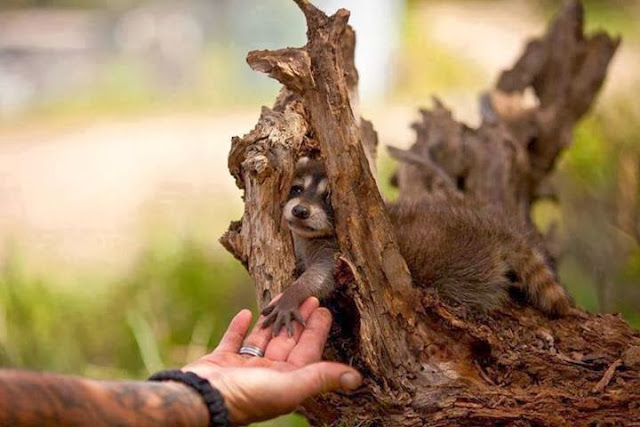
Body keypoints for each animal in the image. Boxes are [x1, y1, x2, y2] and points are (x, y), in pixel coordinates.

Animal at [262, 159, 572, 336]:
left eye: (328, 198)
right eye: (297, 189)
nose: (300, 211)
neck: (312, 236)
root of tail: (491, 228)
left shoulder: (340, 251)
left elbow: (322, 278)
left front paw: (293, 294)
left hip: (463, 266)